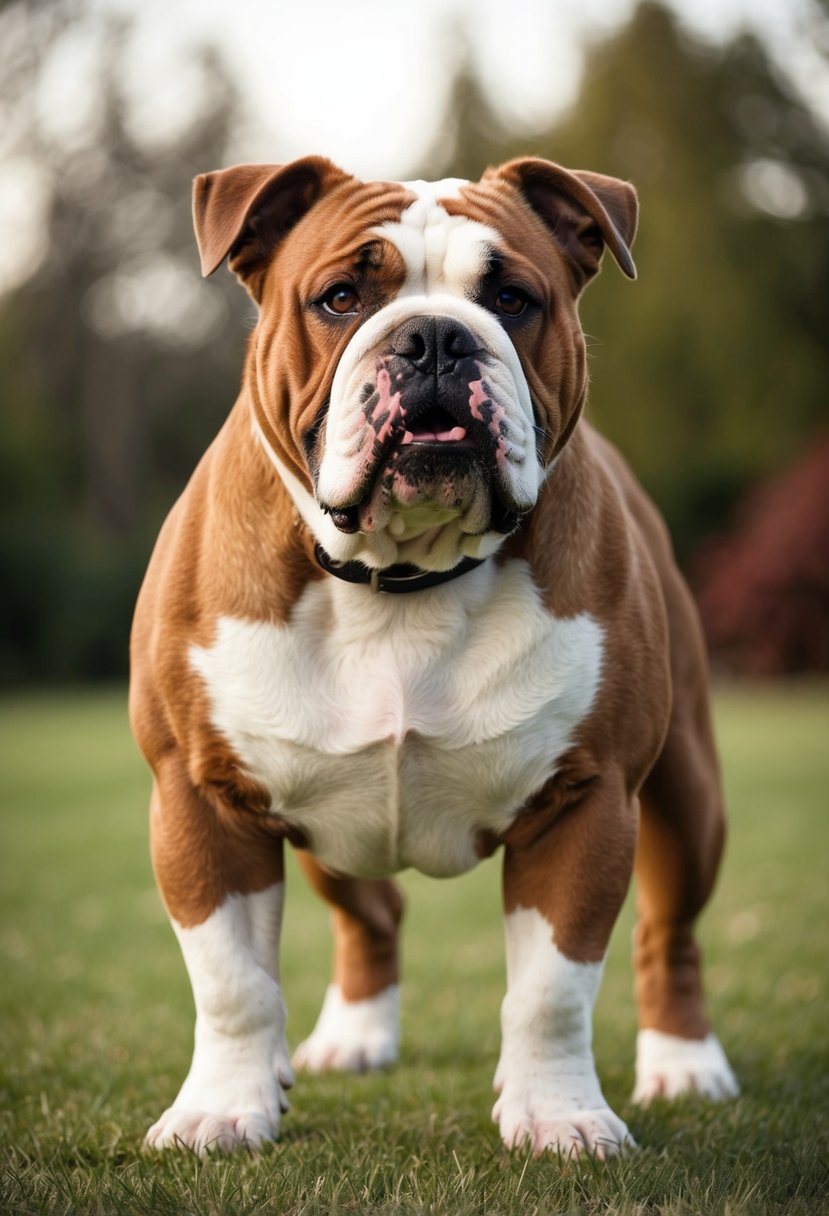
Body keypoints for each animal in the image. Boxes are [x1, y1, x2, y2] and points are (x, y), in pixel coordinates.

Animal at [128, 154, 734, 1157]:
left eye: (513, 299)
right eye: (339, 297)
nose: (436, 339)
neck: (401, 575)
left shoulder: (587, 800)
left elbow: (552, 991)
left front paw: (559, 1118)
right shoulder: (200, 797)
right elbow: (232, 983)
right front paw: (222, 1108)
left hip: (687, 794)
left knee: (670, 934)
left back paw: (684, 1065)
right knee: (371, 912)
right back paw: (351, 1040)